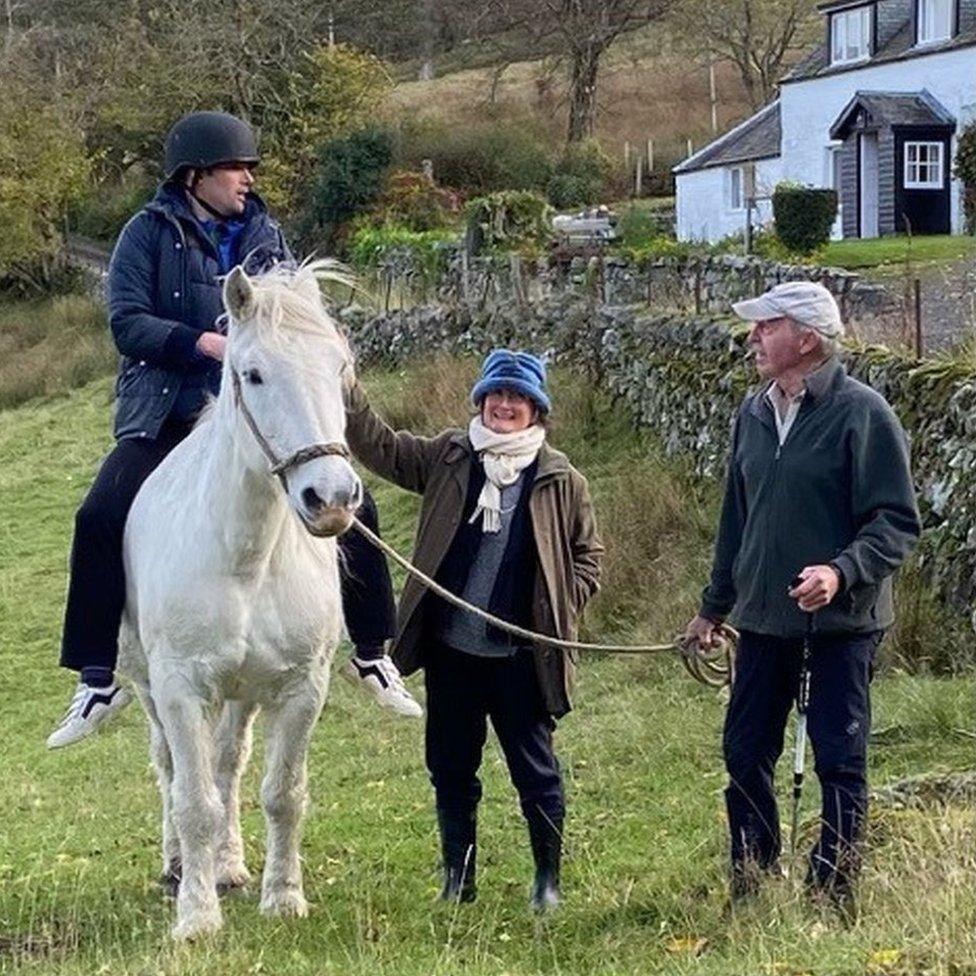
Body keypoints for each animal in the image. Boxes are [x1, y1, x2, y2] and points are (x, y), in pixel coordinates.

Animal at [118, 260, 362, 936]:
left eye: (339, 367)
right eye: (252, 374)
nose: (331, 499)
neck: (245, 561)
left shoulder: (302, 689)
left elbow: (283, 794)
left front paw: (283, 897)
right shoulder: (179, 691)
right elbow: (192, 800)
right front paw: (196, 917)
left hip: (242, 694)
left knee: (228, 764)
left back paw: (226, 865)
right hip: (149, 688)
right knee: (172, 769)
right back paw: (181, 866)